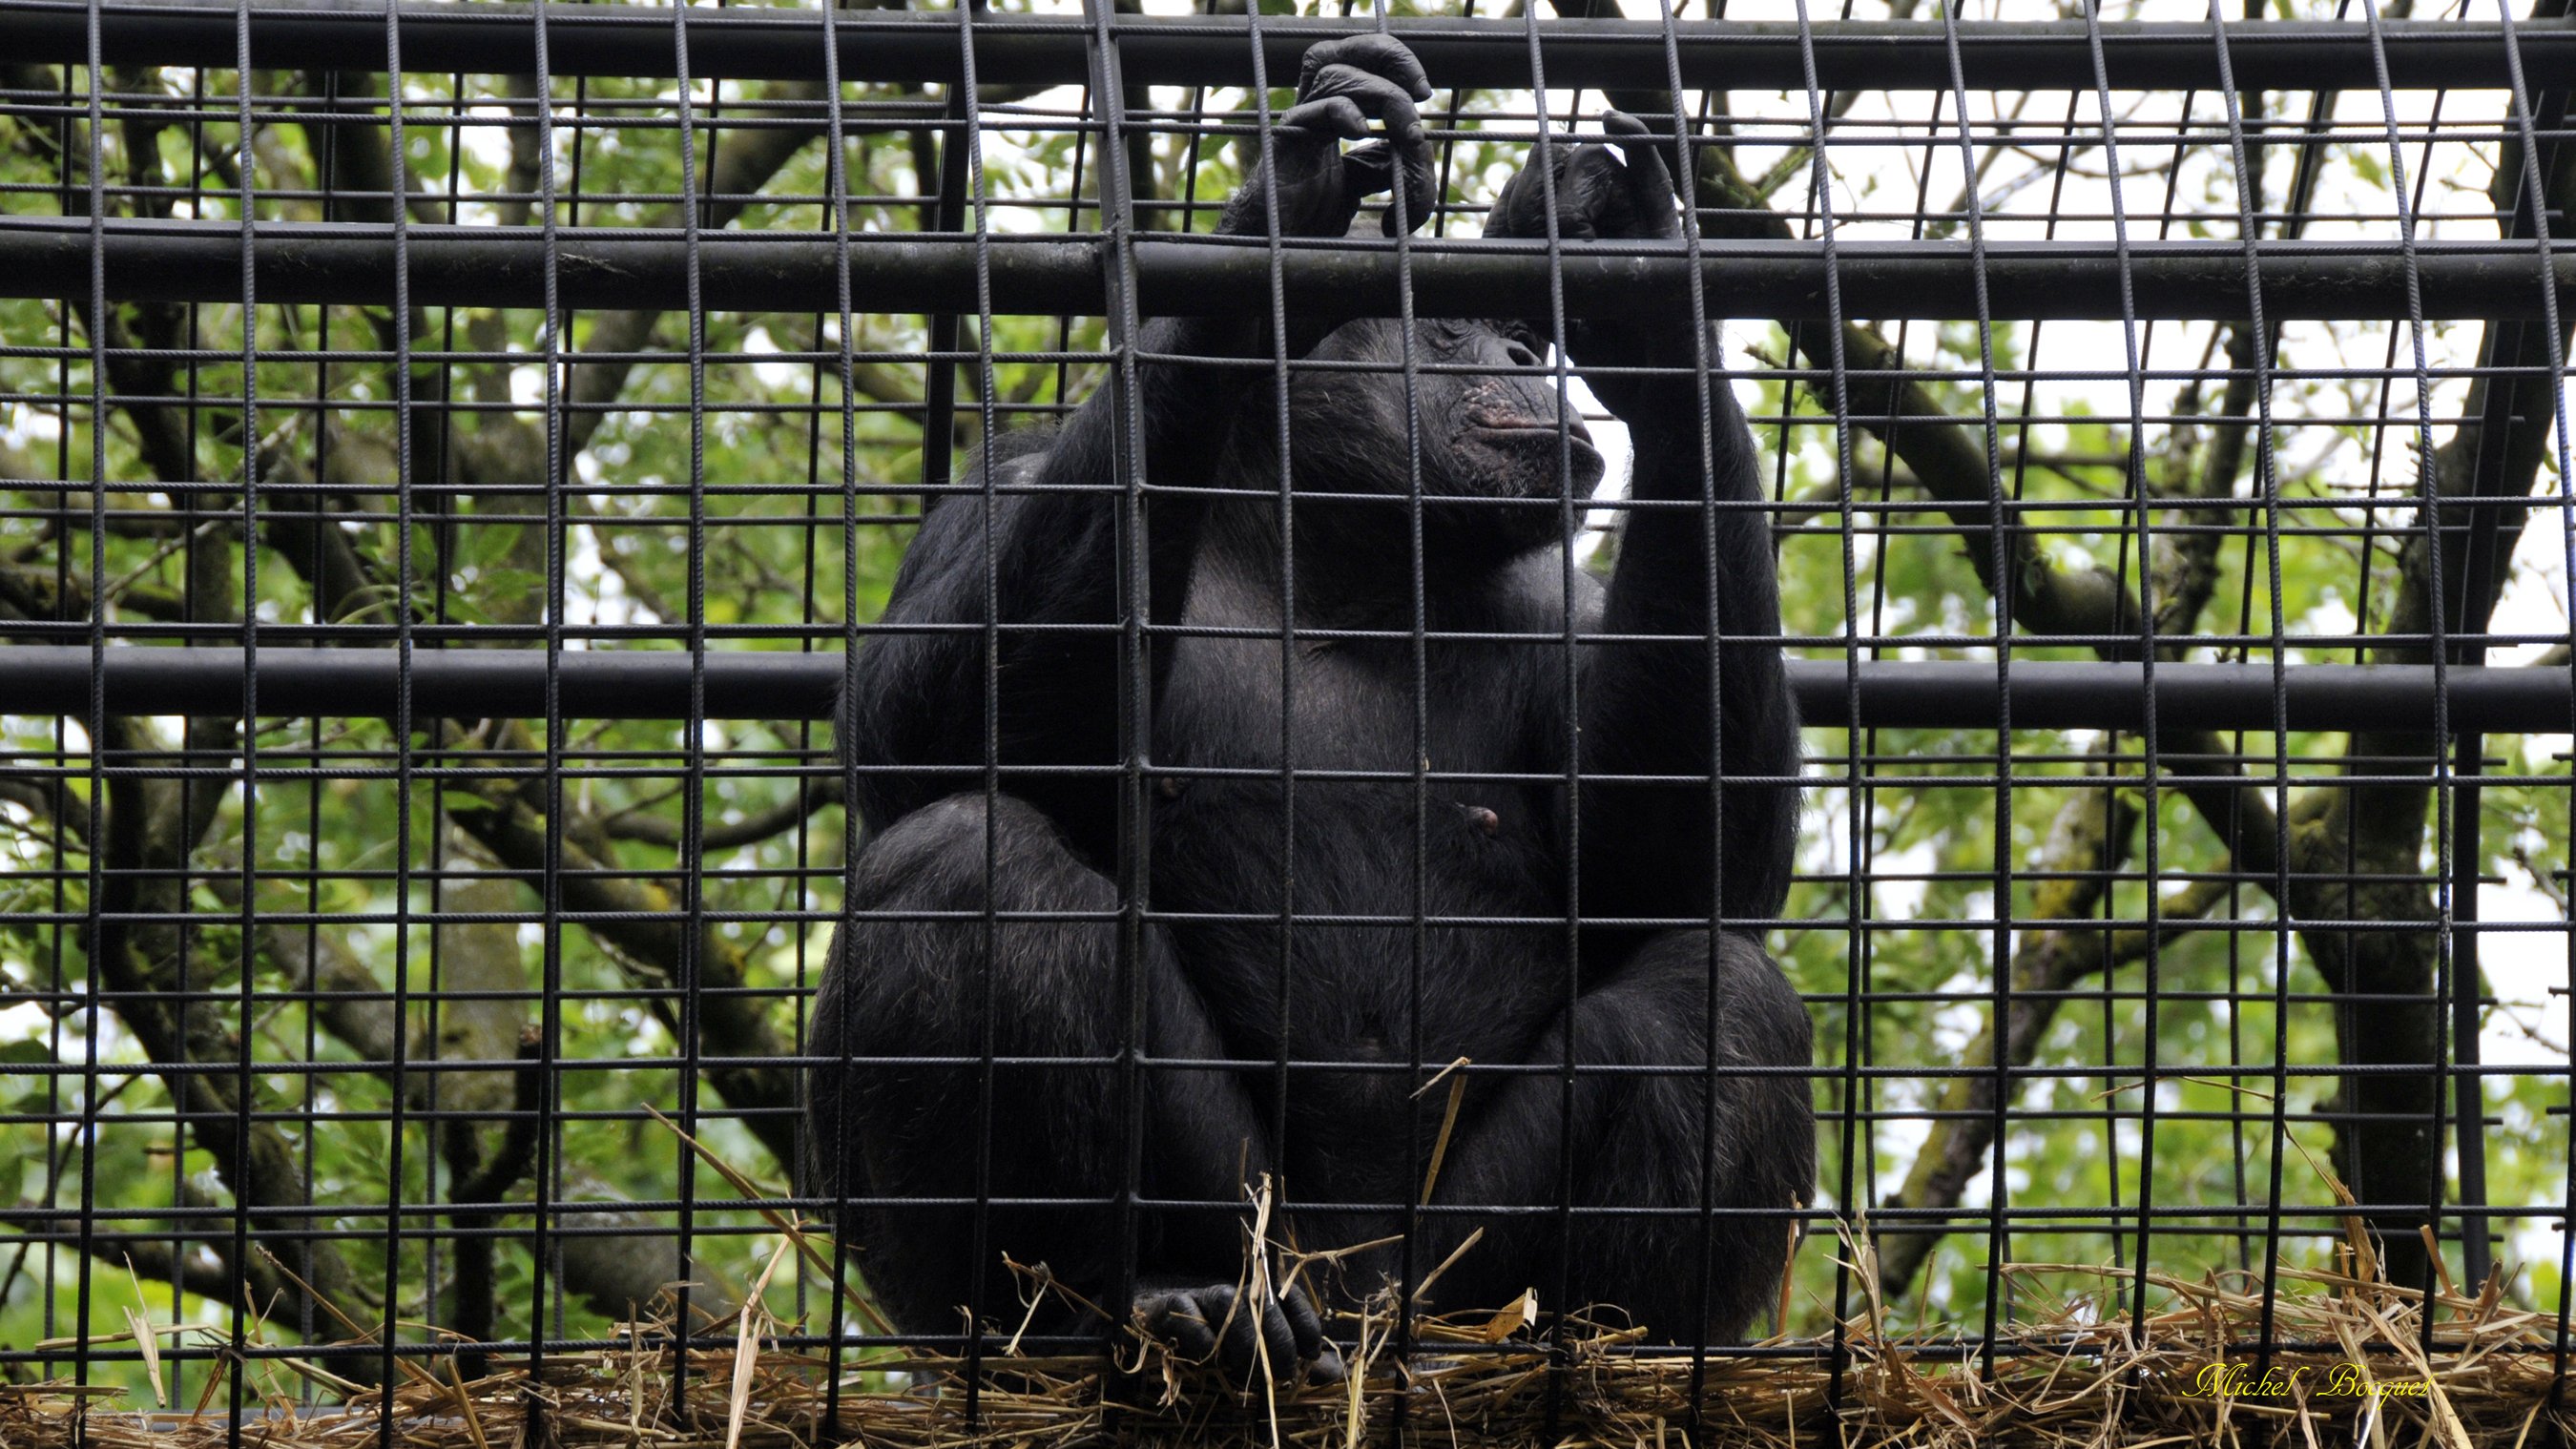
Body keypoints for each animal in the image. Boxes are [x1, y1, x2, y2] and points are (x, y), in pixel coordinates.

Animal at [803, 36, 1813, 1379]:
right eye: (1447, 329)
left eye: (1517, 332)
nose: (1518, 360)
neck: (1333, 550)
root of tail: (1353, 1300)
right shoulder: (994, 489)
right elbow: (914, 739)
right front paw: (1285, 210)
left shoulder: (1571, 607)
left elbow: (1677, 871)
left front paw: (1646, 291)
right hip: (1242, 1216)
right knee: (967, 866)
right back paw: (1119, 1312)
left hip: (1451, 1260)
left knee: (1718, 990)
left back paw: (1585, 1353)